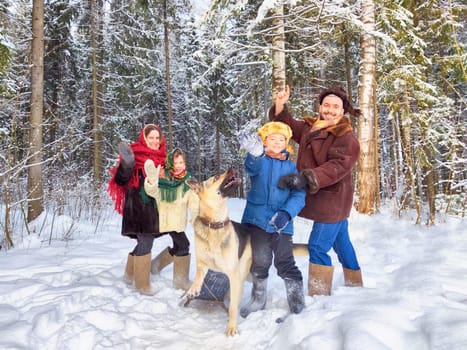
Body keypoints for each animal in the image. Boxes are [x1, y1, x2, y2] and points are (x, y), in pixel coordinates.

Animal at [185, 168, 250, 338]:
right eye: (215, 178)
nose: (232, 168)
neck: (214, 224)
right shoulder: (202, 263)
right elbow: (198, 275)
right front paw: (193, 289)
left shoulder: (233, 273)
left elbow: (233, 307)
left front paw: (232, 327)